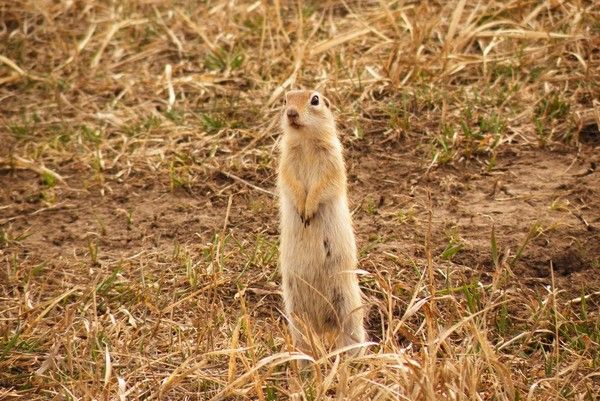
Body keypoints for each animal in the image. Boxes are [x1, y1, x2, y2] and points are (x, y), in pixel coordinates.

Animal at [278, 90, 366, 354]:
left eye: (315, 100)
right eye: (284, 100)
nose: (291, 113)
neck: (306, 142)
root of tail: (322, 326)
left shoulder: (332, 161)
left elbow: (324, 185)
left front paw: (308, 210)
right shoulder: (285, 162)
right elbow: (290, 182)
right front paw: (302, 209)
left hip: (349, 310)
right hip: (296, 314)